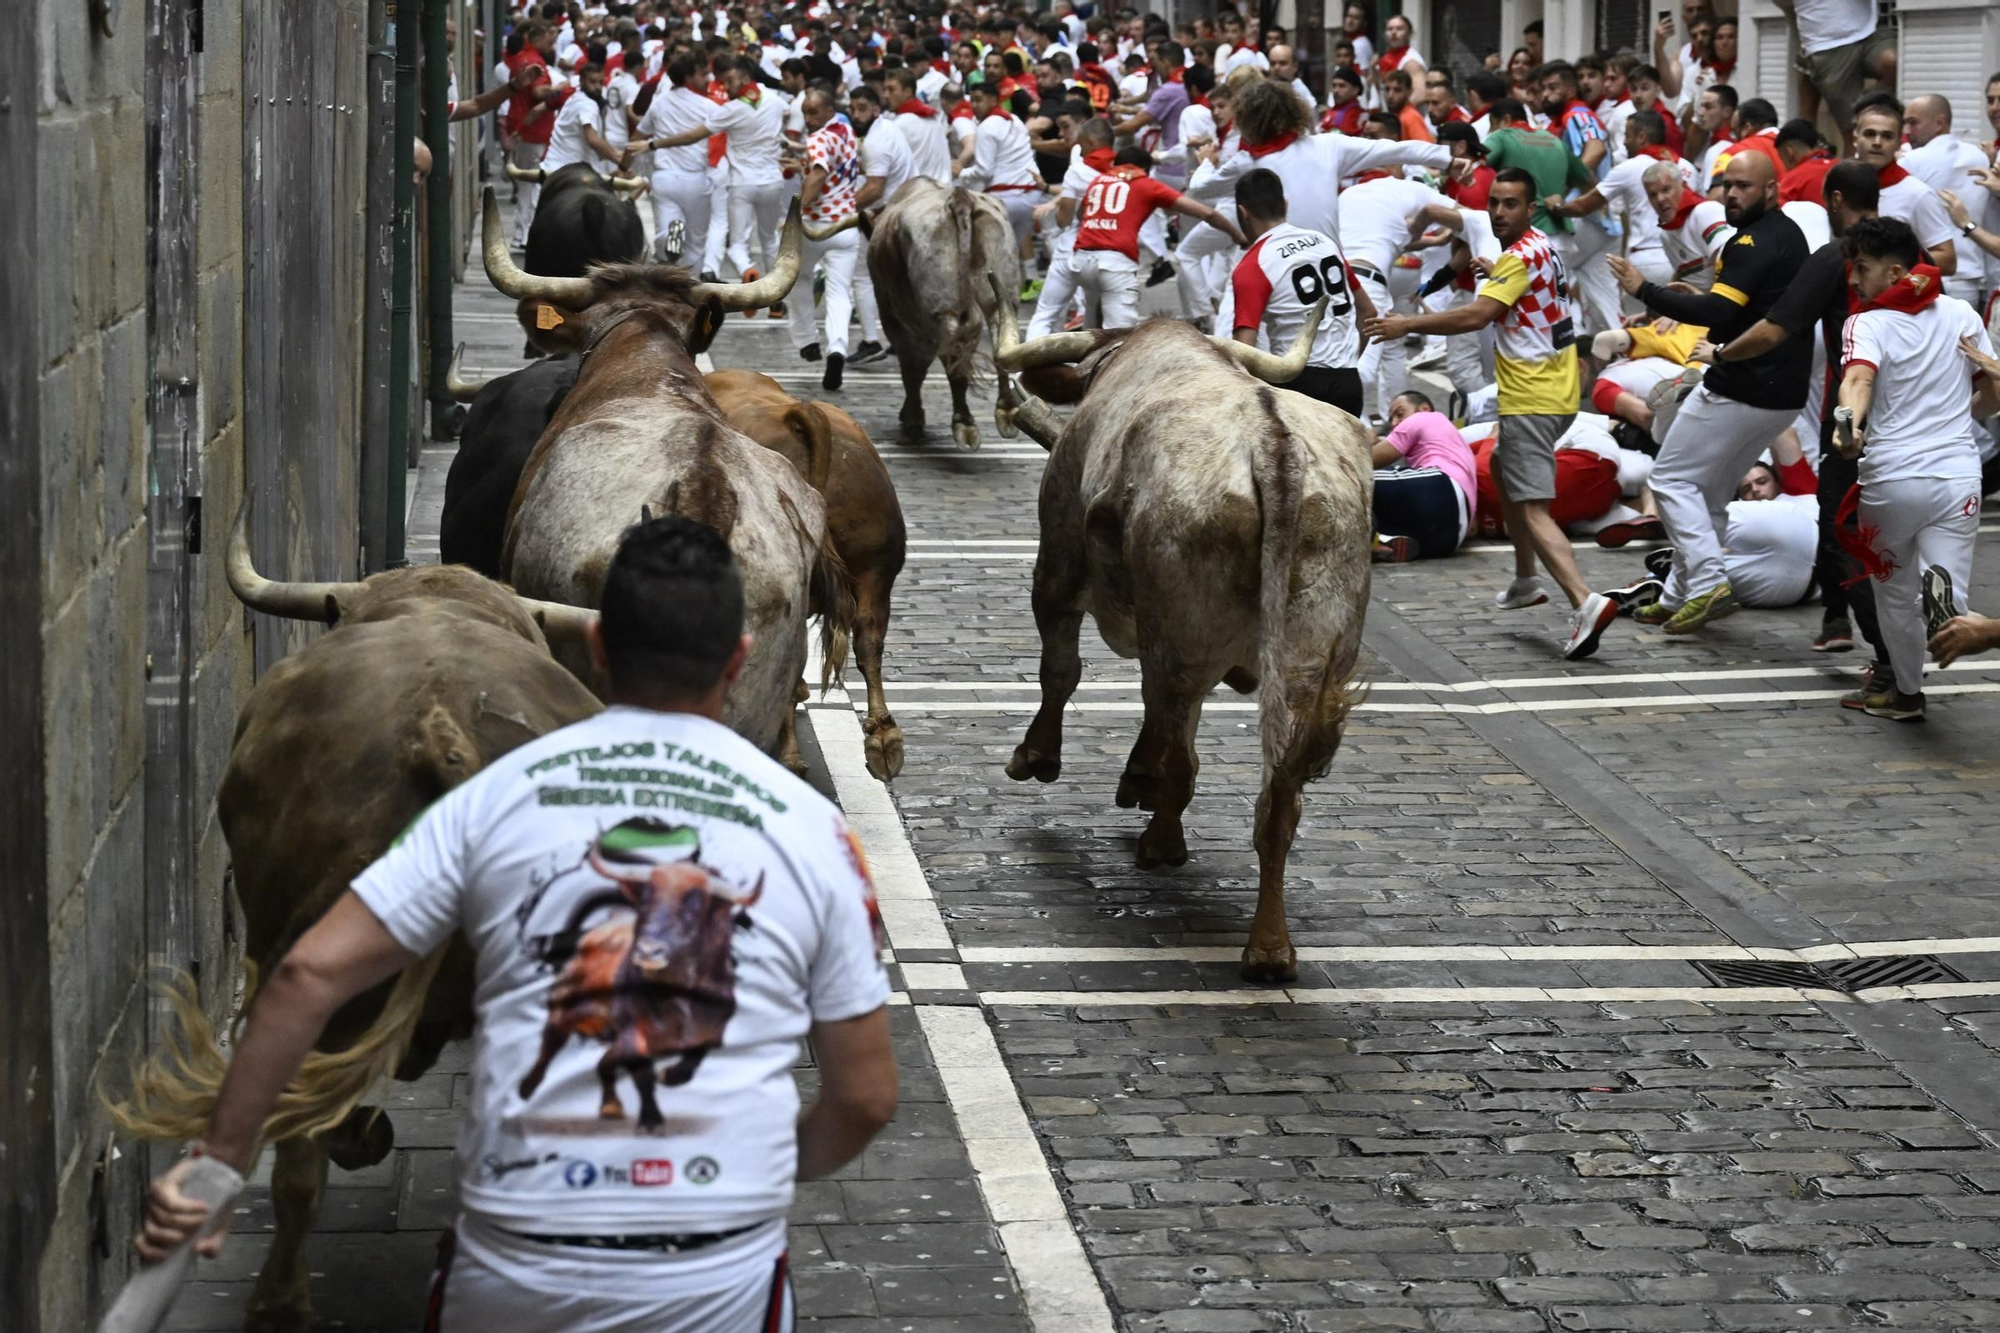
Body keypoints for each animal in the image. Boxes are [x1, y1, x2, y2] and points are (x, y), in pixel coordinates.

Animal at [988, 288, 1368, 976]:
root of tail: (1272, 444)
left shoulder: (1057, 562)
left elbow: (1061, 670)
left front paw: (1037, 756)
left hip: (1179, 634)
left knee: (1175, 738)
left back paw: (1161, 841)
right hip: (1310, 655)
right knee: (1277, 793)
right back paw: (1269, 946)